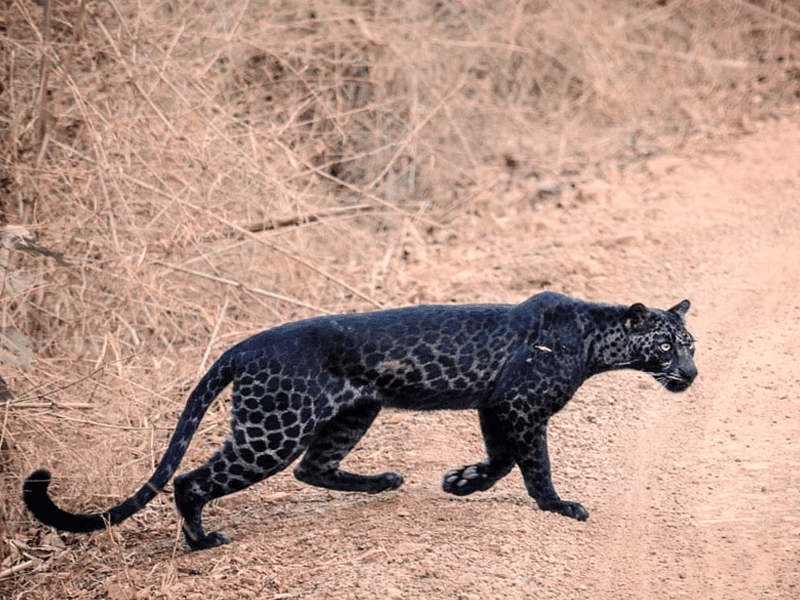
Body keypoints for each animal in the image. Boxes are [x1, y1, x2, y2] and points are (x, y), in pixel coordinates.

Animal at [25, 292, 696, 552]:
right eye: (667, 346)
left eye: (693, 345)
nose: (691, 375)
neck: (596, 339)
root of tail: (243, 346)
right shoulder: (519, 406)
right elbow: (533, 464)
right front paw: (560, 507)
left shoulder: (495, 404)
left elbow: (502, 457)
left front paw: (461, 482)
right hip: (273, 428)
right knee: (194, 480)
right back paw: (202, 540)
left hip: (352, 411)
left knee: (315, 468)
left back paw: (384, 483)